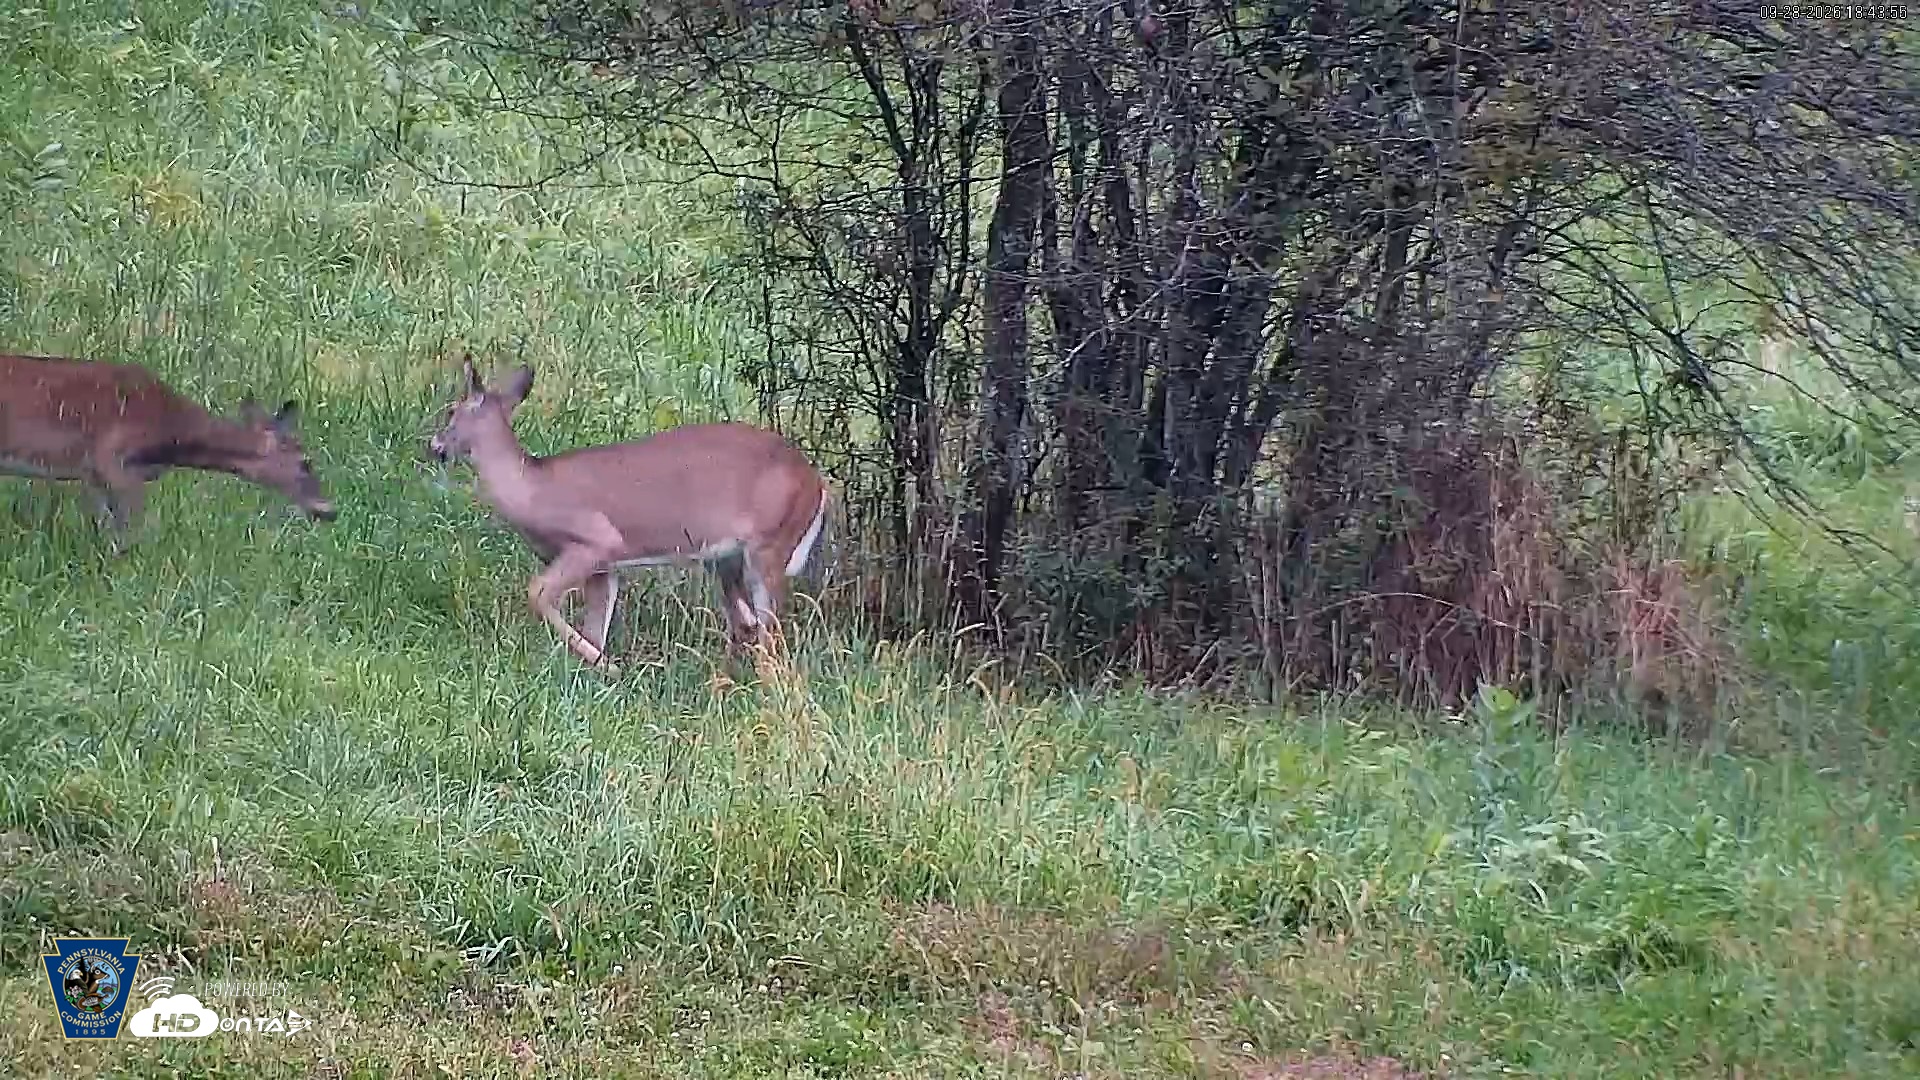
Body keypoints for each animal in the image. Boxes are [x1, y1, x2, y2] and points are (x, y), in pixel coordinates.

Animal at [0, 353, 337, 544]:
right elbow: (132, 531)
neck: (172, 431)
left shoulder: (92, 473)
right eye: (306, 462)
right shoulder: (112, 458)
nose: (329, 511)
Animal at [427, 357, 829, 673]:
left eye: (451, 411)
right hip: (727, 558)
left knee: (770, 635)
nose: (434, 446)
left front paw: (608, 667)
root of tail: (817, 484)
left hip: (770, 544)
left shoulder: (596, 539)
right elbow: (595, 626)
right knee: (747, 623)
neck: (532, 489)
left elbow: (538, 592)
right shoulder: (604, 568)